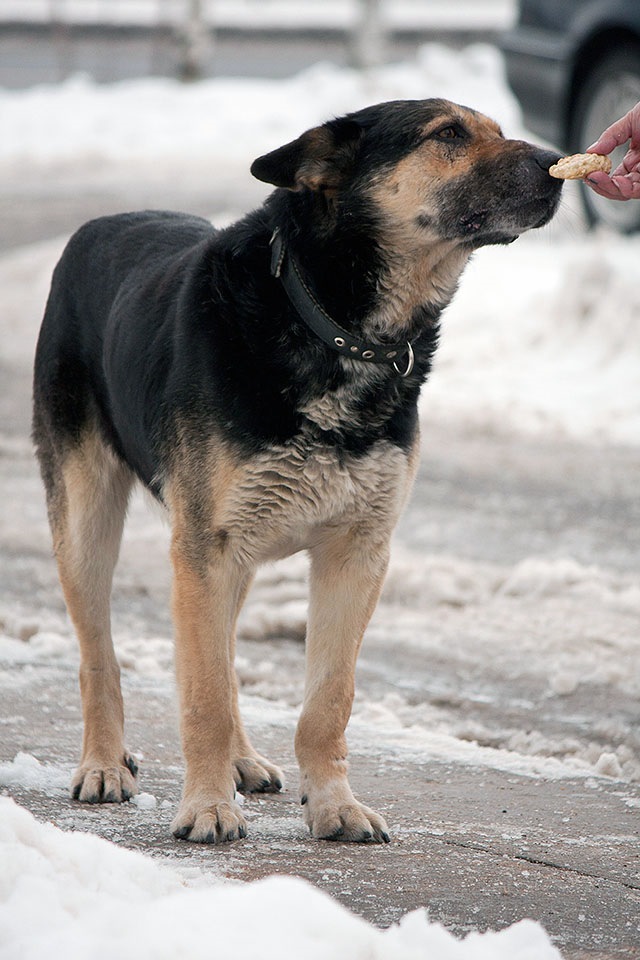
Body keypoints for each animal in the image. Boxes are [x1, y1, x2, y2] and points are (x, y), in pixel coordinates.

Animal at [31, 97, 560, 844]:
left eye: (496, 128)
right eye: (449, 134)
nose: (558, 164)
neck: (332, 323)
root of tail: (99, 223)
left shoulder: (355, 553)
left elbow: (325, 701)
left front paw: (334, 804)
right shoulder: (207, 549)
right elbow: (203, 695)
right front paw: (207, 807)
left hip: (235, 552)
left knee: (222, 655)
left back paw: (241, 760)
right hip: (91, 525)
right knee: (101, 655)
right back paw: (105, 765)